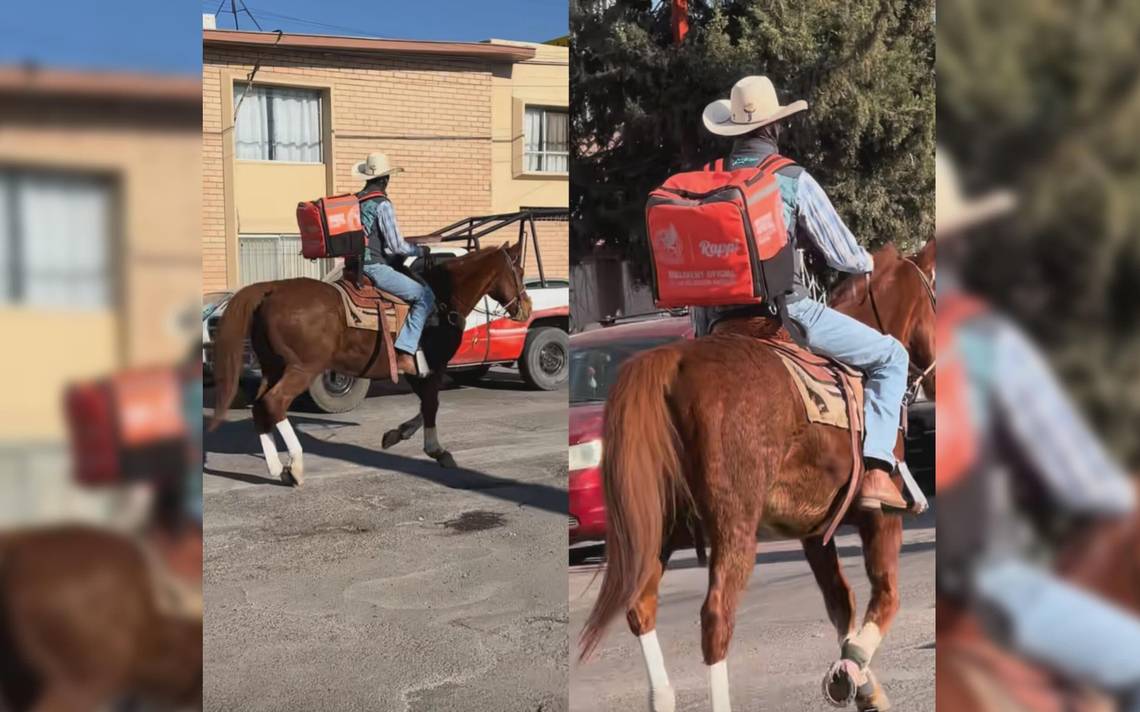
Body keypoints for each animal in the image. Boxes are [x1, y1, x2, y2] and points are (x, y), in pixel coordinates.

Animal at [212, 241, 531, 485]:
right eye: (519, 271)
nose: (526, 309)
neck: (444, 297)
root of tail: (271, 290)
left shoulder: (416, 370)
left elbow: (426, 405)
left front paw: (396, 434)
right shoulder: (434, 366)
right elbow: (431, 405)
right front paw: (437, 450)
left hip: (272, 367)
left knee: (260, 406)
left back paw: (277, 467)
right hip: (302, 368)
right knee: (274, 403)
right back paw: (296, 467)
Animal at [579, 240, 934, 710]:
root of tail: (672, 362)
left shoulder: (813, 531)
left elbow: (841, 601)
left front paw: (856, 681)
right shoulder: (880, 516)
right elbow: (885, 595)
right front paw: (857, 672)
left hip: (660, 526)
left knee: (640, 604)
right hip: (734, 527)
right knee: (716, 617)